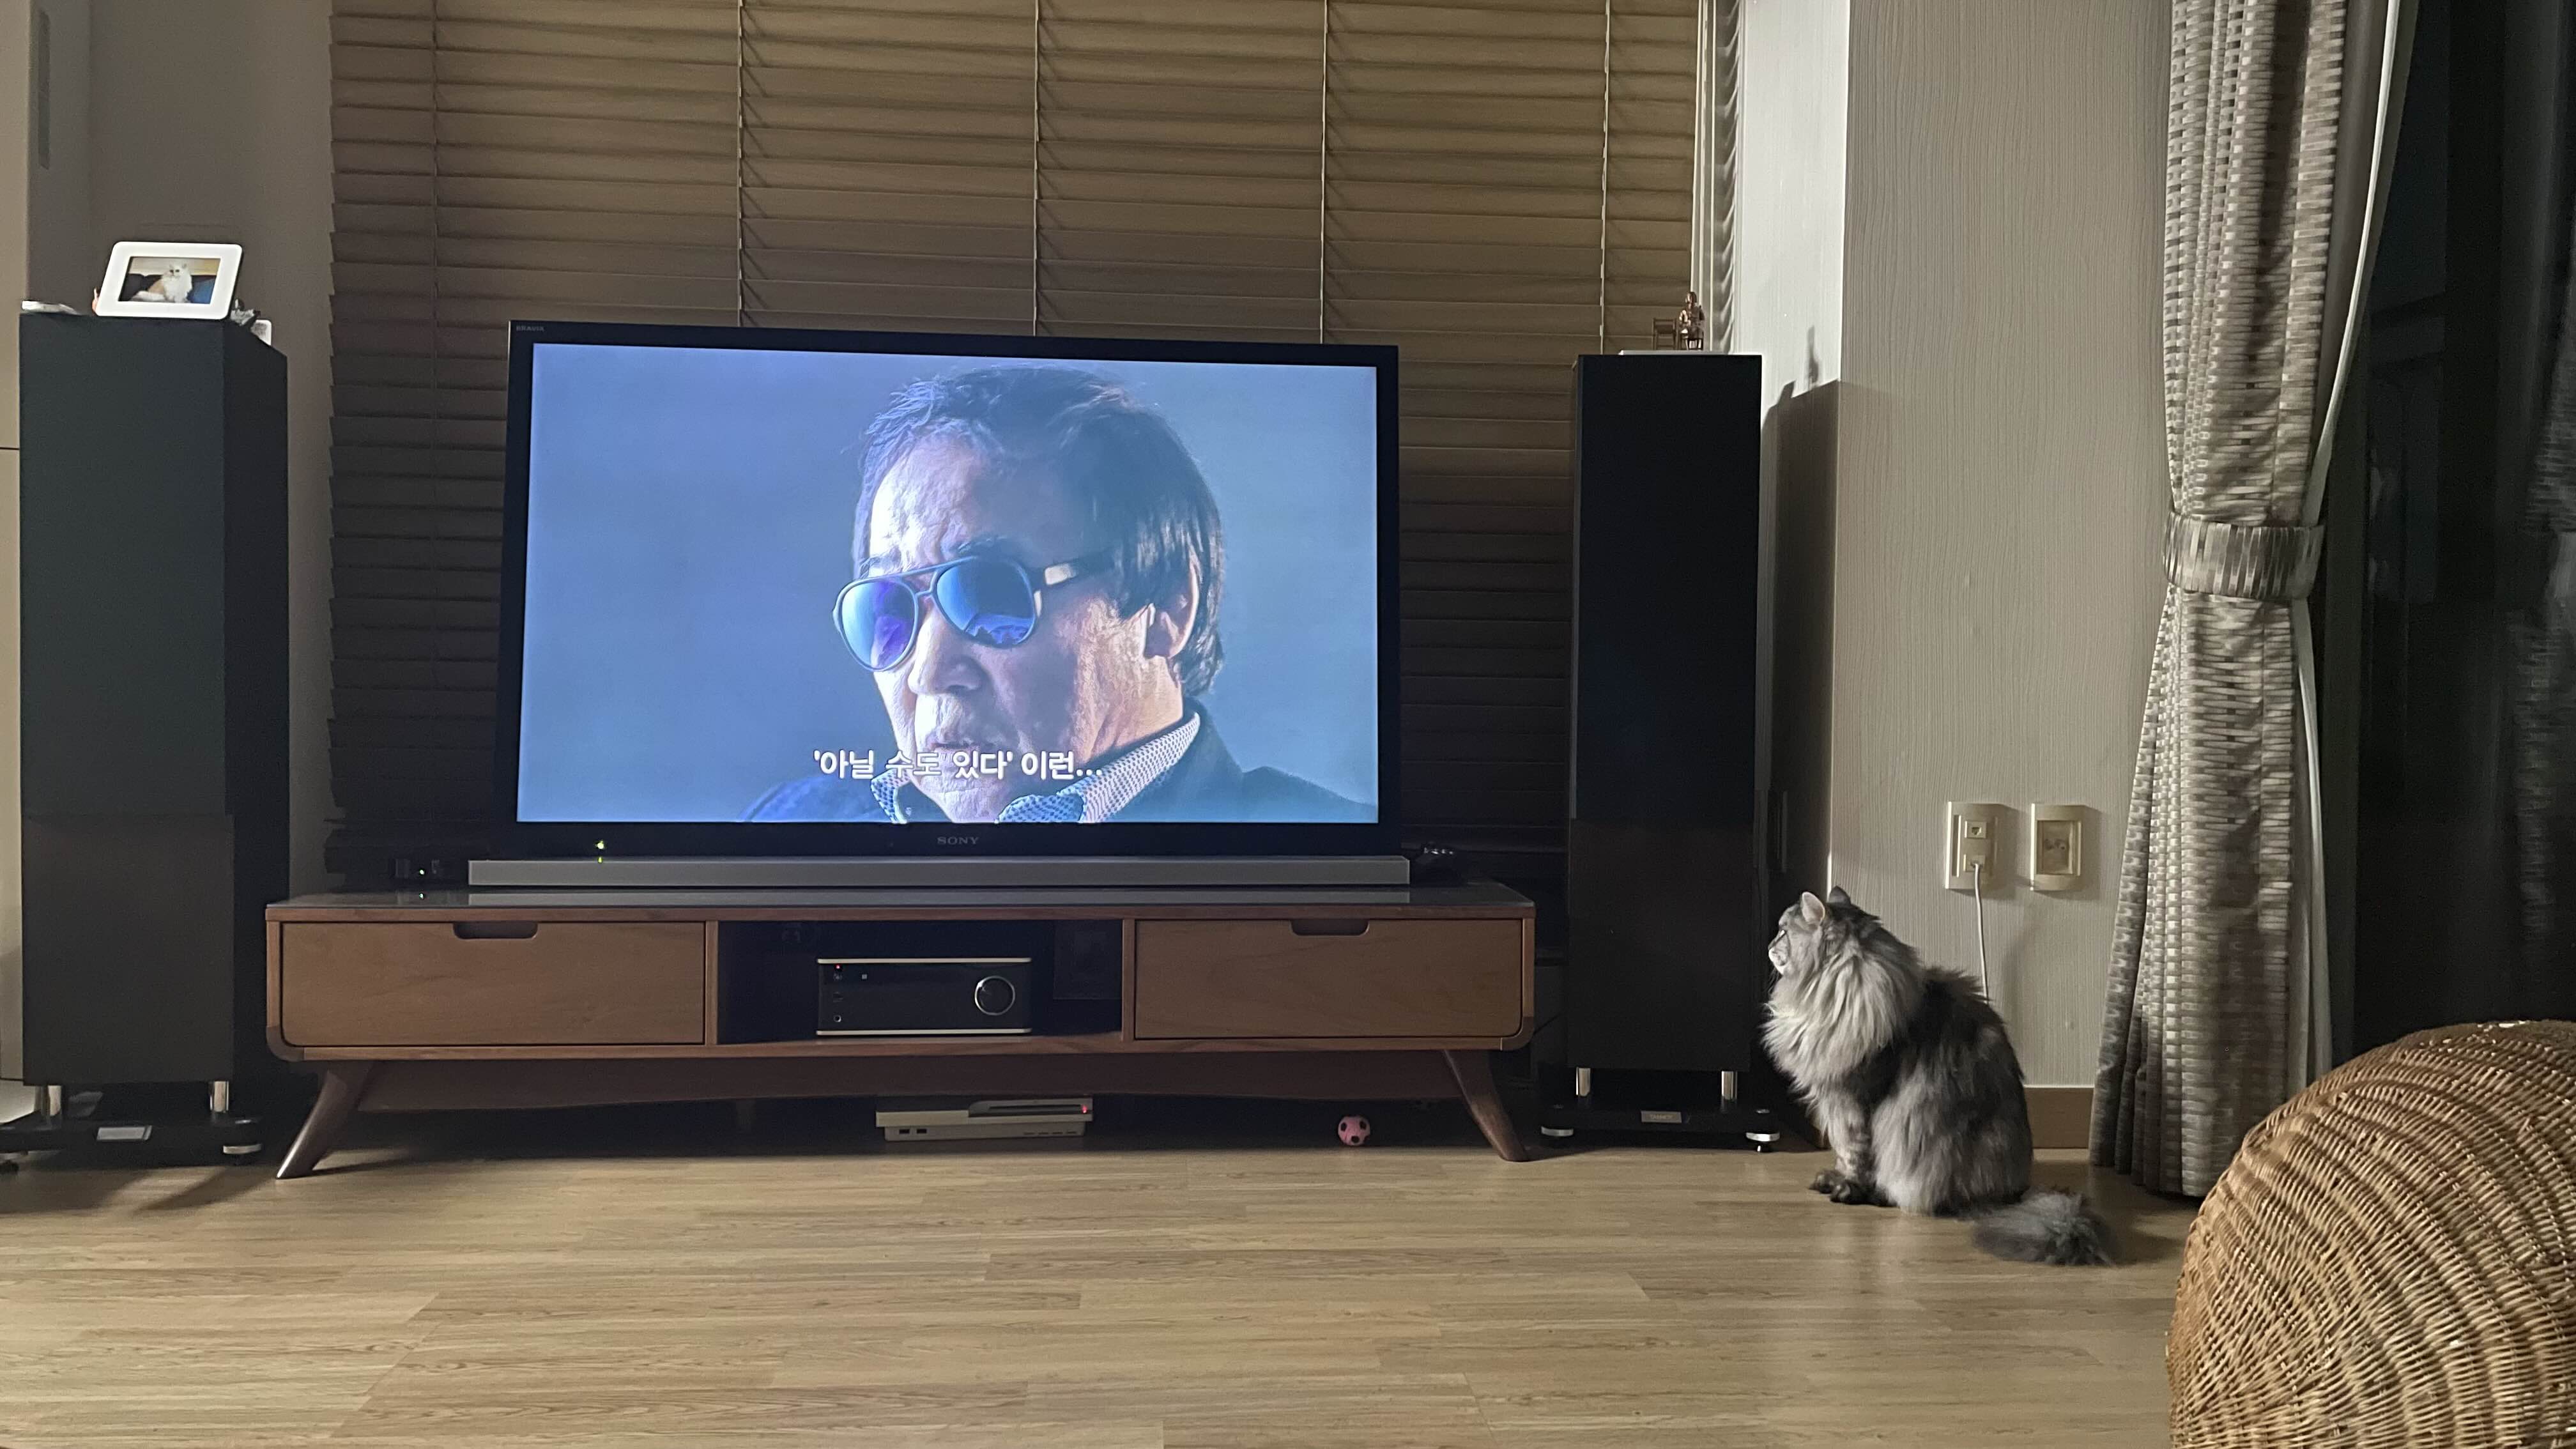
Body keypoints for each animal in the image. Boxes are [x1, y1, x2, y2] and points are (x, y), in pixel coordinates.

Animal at [1762, 886, 2115, 1266]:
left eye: (1783, 931)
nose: (1768, 945)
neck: (1830, 992)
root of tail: (2015, 1194)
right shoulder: (1836, 1100)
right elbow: (1843, 1152)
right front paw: (1834, 1179)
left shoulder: (1854, 1098)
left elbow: (1855, 1155)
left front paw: (1848, 1190)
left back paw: (1883, 1196)